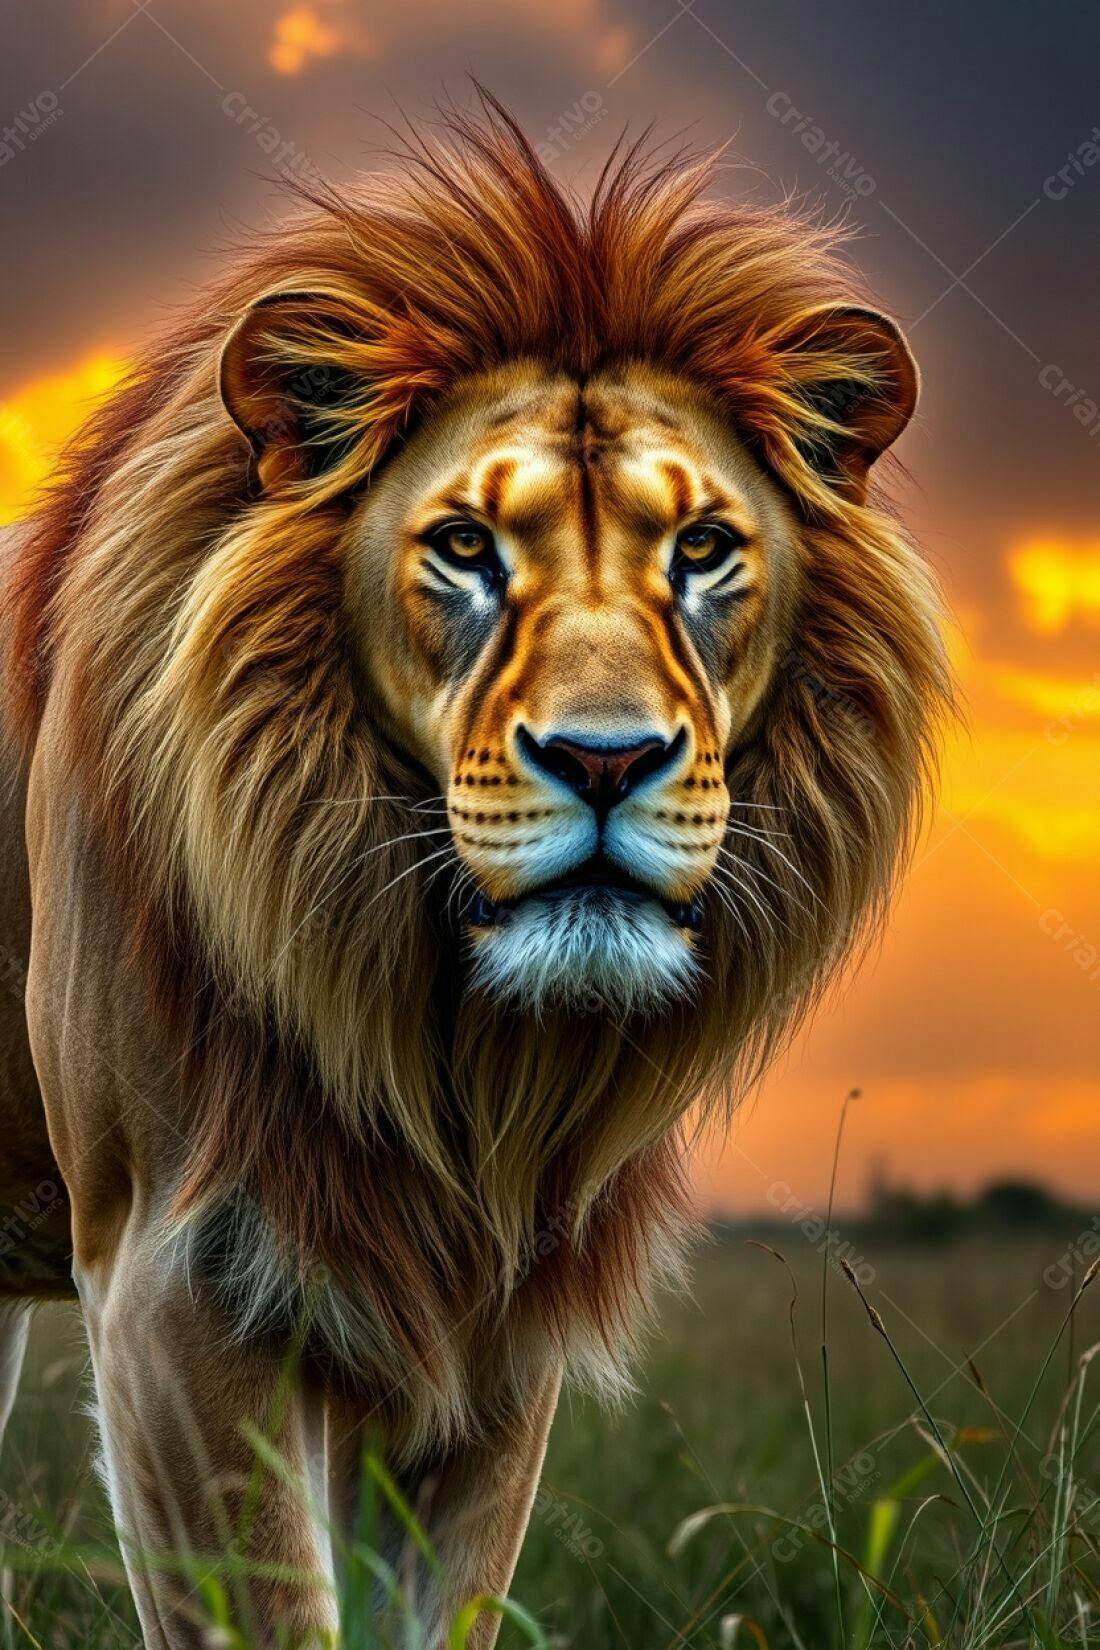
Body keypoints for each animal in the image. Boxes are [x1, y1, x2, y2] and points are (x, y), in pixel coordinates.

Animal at [0, 96, 950, 1646]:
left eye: (703, 550)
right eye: (462, 548)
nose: (606, 760)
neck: (440, 1033)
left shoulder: (492, 1321)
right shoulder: (174, 1274)